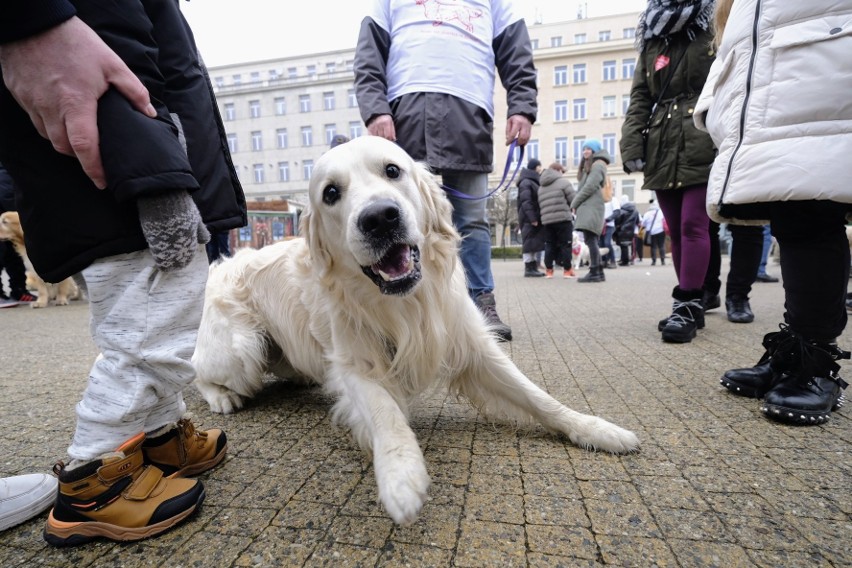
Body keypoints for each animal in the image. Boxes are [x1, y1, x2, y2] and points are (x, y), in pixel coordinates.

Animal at [191, 135, 632, 524]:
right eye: (331, 193)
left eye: (392, 170)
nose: (379, 218)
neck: (403, 304)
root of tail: (219, 266)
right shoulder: (354, 365)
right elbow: (385, 412)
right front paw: (400, 477)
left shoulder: (473, 346)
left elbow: (539, 397)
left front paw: (596, 429)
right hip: (243, 350)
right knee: (196, 370)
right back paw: (222, 397)